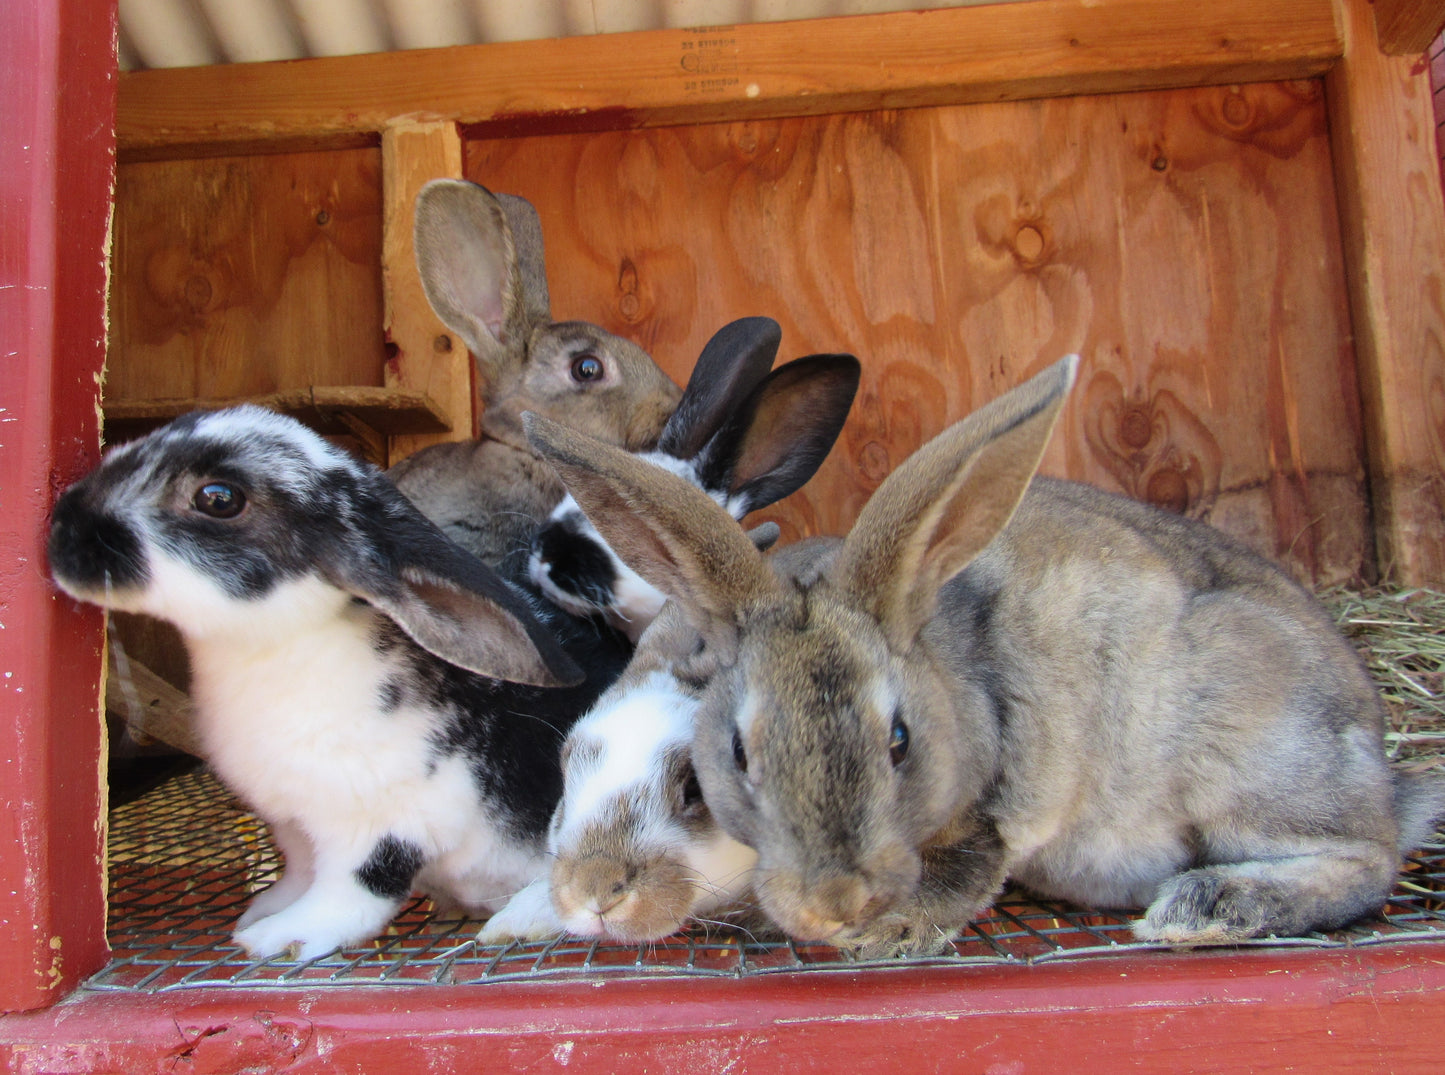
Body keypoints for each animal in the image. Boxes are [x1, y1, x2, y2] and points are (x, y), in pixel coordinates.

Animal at [528, 356, 1445, 953]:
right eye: (736, 755)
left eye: (899, 741)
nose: (833, 903)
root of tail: (1381, 770)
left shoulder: (1008, 793)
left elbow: (972, 863)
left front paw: (891, 929)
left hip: (1250, 757)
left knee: (1364, 856)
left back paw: (1208, 905)